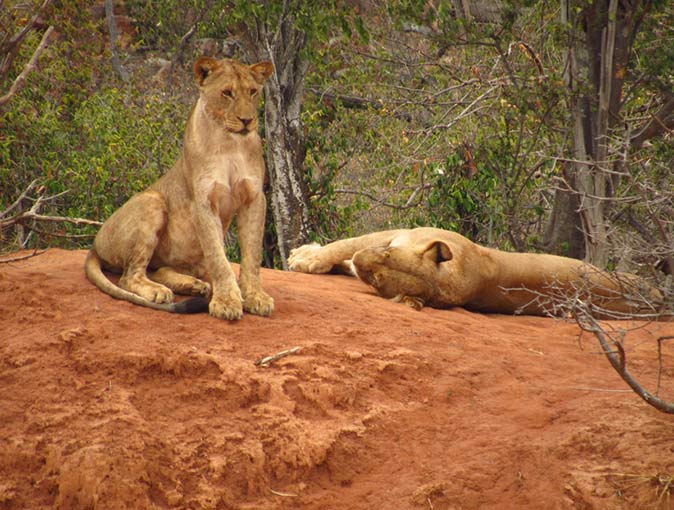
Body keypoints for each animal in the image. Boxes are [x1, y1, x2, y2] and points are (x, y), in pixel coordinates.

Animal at [85, 57, 274, 320]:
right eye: (227, 93)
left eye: (253, 91)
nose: (247, 120)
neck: (229, 144)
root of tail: (94, 245)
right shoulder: (203, 202)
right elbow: (219, 258)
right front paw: (226, 302)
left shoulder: (254, 198)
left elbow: (252, 255)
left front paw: (256, 297)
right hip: (153, 201)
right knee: (129, 276)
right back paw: (159, 291)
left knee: (157, 269)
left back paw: (194, 285)